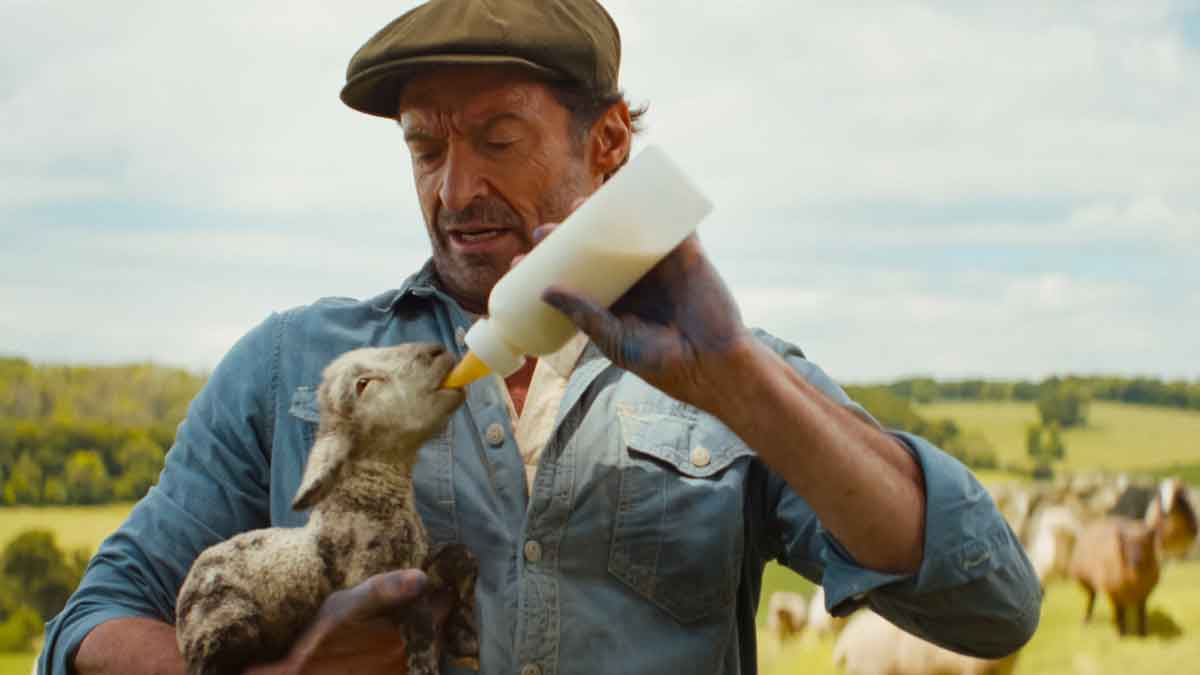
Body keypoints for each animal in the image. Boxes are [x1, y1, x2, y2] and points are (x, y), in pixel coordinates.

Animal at [175, 343, 478, 675]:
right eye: (363, 384)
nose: (437, 351)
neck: (371, 497)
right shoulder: (371, 578)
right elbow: (416, 606)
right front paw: (423, 661)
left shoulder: (419, 561)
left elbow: (463, 557)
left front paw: (465, 636)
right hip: (225, 624)